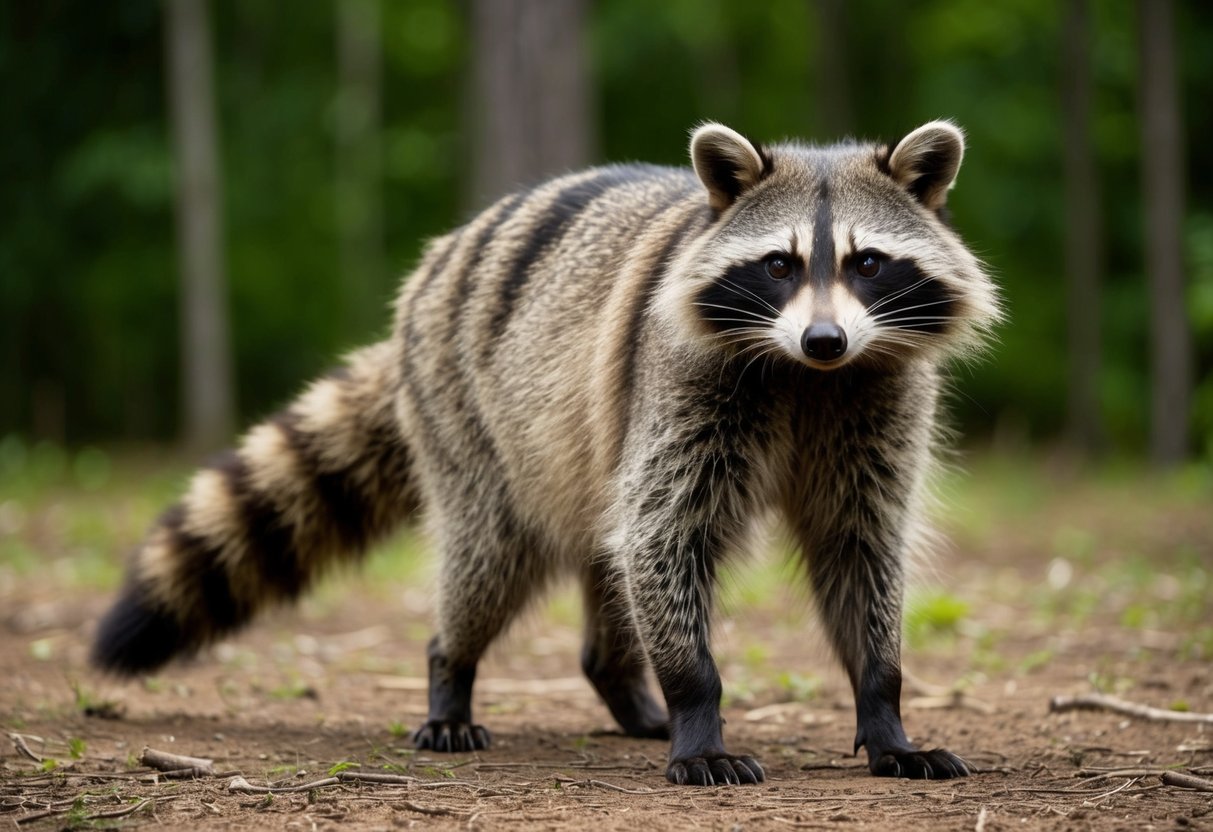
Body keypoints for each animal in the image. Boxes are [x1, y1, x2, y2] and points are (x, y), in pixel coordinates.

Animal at [93, 121, 1000, 786]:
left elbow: (859, 547)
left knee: (606, 560)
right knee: (490, 557)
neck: (806, 378)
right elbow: (664, 535)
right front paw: (697, 704)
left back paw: (619, 681)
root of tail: (442, 260)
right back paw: (450, 673)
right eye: (778, 265)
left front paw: (883, 709)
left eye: (866, 262)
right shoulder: (679, 385)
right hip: (468, 412)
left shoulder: (873, 402)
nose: (823, 339)